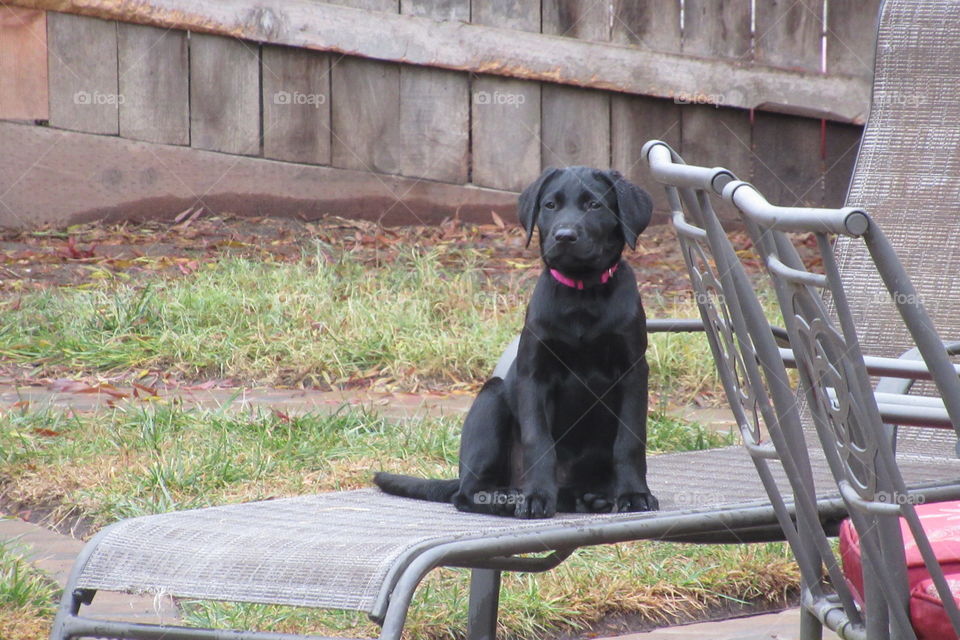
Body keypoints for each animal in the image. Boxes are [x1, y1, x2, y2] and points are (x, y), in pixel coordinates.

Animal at [376, 168, 660, 516]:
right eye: (550, 205)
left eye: (594, 205)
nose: (564, 236)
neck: (583, 294)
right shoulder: (534, 375)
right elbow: (539, 441)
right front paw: (536, 496)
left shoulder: (633, 373)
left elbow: (630, 441)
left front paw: (634, 494)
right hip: (492, 398)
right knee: (467, 494)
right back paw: (511, 497)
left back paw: (589, 497)